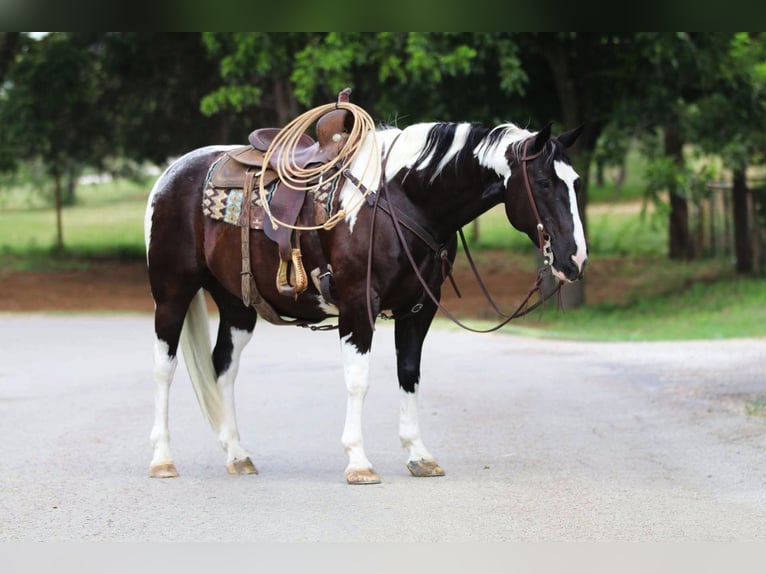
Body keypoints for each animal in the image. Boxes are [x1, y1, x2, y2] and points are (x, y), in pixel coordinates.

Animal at [144, 112, 588, 486]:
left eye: (575, 182)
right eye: (544, 183)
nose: (575, 258)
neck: (403, 199)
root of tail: (171, 173)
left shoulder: (420, 308)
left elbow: (409, 373)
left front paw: (419, 455)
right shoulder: (359, 305)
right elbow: (358, 381)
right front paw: (358, 462)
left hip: (238, 304)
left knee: (224, 367)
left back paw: (237, 455)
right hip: (172, 293)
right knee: (164, 369)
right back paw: (162, 459)